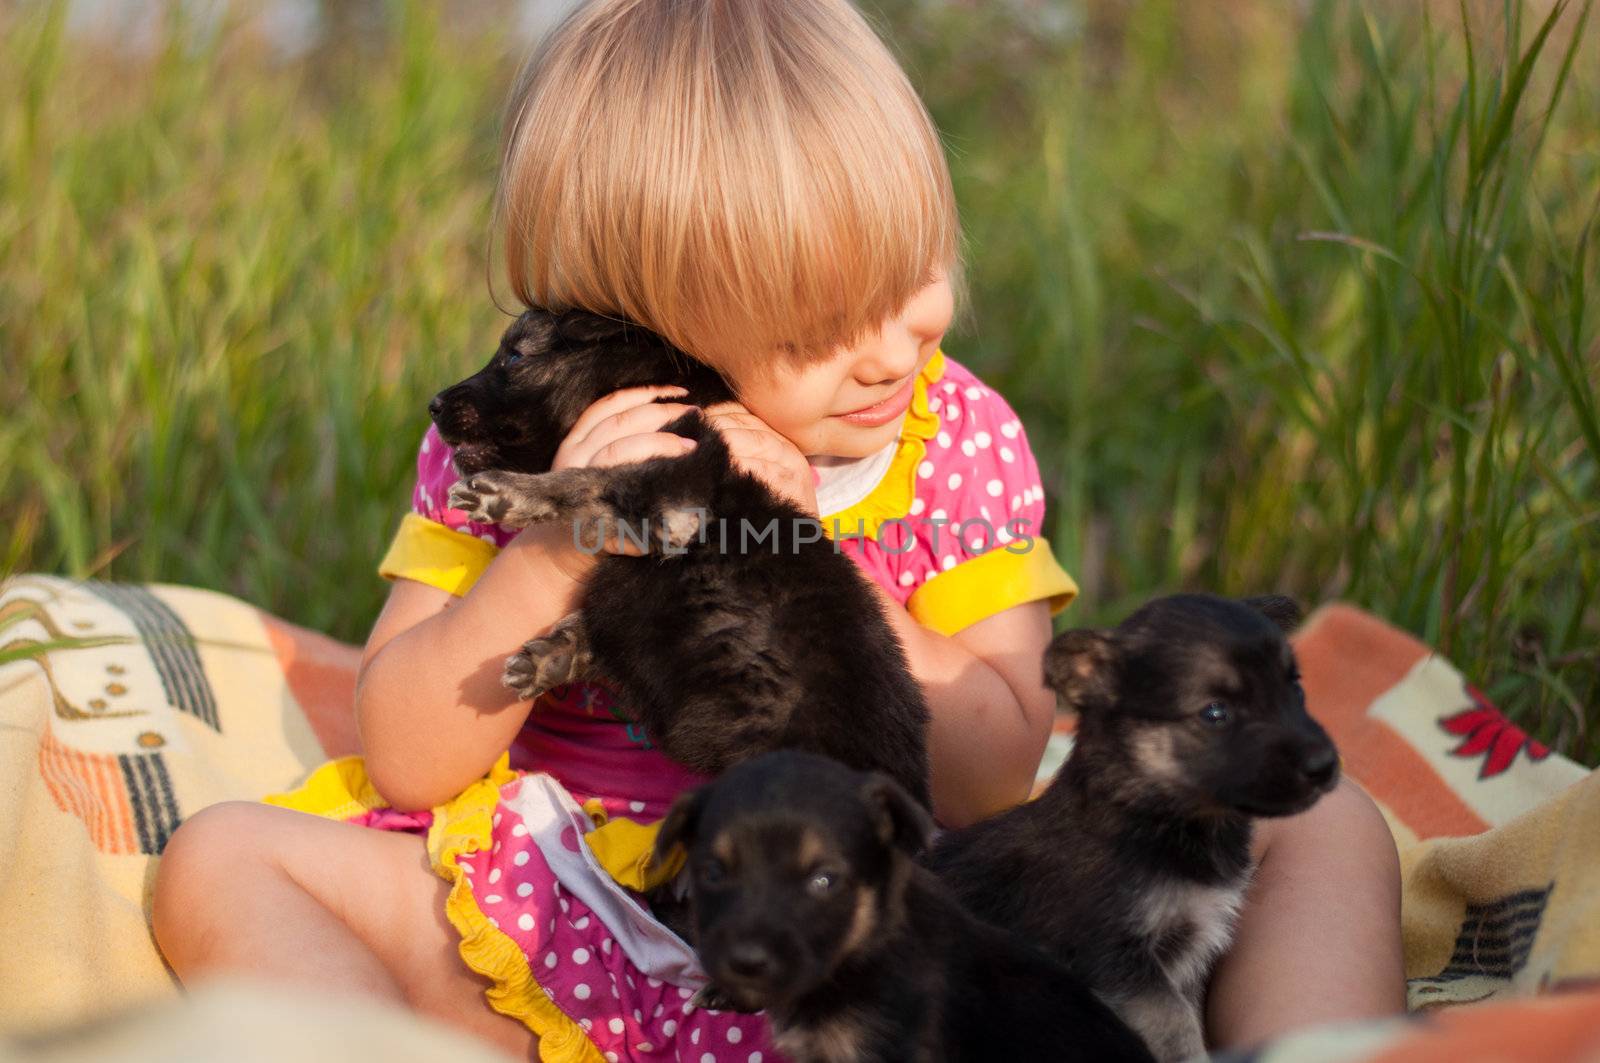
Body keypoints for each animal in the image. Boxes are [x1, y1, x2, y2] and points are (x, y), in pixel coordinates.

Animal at [432, 307, 934, 806]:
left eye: (515, 356)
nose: (433, 405)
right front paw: (552, 655)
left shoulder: (675, 493)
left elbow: (586, 478)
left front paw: (509, 493)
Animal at [921, 592, 1344, 1056]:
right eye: (1215, 713)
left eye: (1296, 688)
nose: (1325, 766)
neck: (1153, 815)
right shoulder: (1113, 957)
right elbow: (1177, 1024)